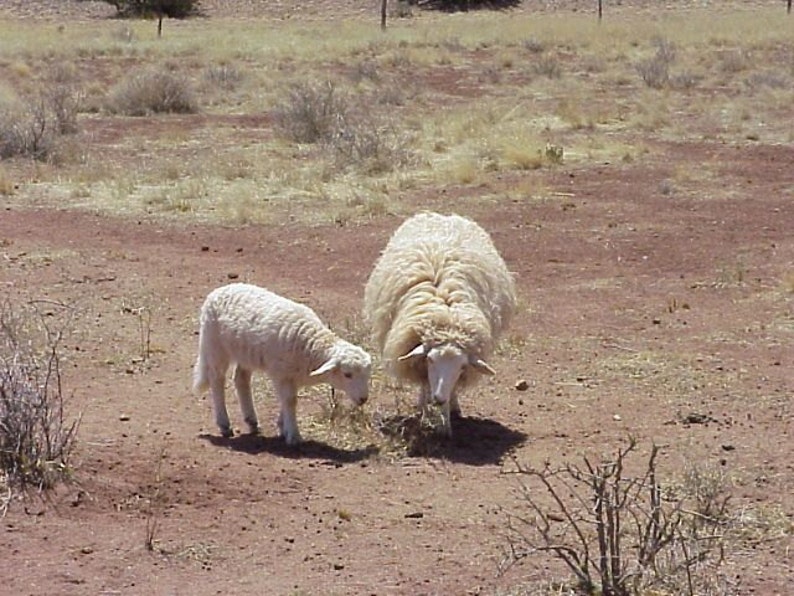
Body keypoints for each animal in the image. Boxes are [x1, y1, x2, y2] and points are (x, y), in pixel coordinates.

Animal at [192, 282, 372, 444]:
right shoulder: (281, 373)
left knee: (241, 379)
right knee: (217, 379)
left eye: (367, 375)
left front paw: (282, 425)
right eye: (347, 374)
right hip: (215, 345)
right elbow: (290, 401)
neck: (310, 344)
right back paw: (224, 424)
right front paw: (293, 435)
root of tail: (220, 290)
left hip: (246, 353)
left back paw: (252, 421)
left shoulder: (292, 374)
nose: (363, 399)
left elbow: (287, 399)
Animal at [364, 212, 516, 436]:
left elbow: (450, 391)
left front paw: (446, 423)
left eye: (462, 366)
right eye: (430, 360)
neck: (446, 319)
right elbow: (425, 383)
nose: (438, 398)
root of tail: (442, 216)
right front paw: (425, 415)